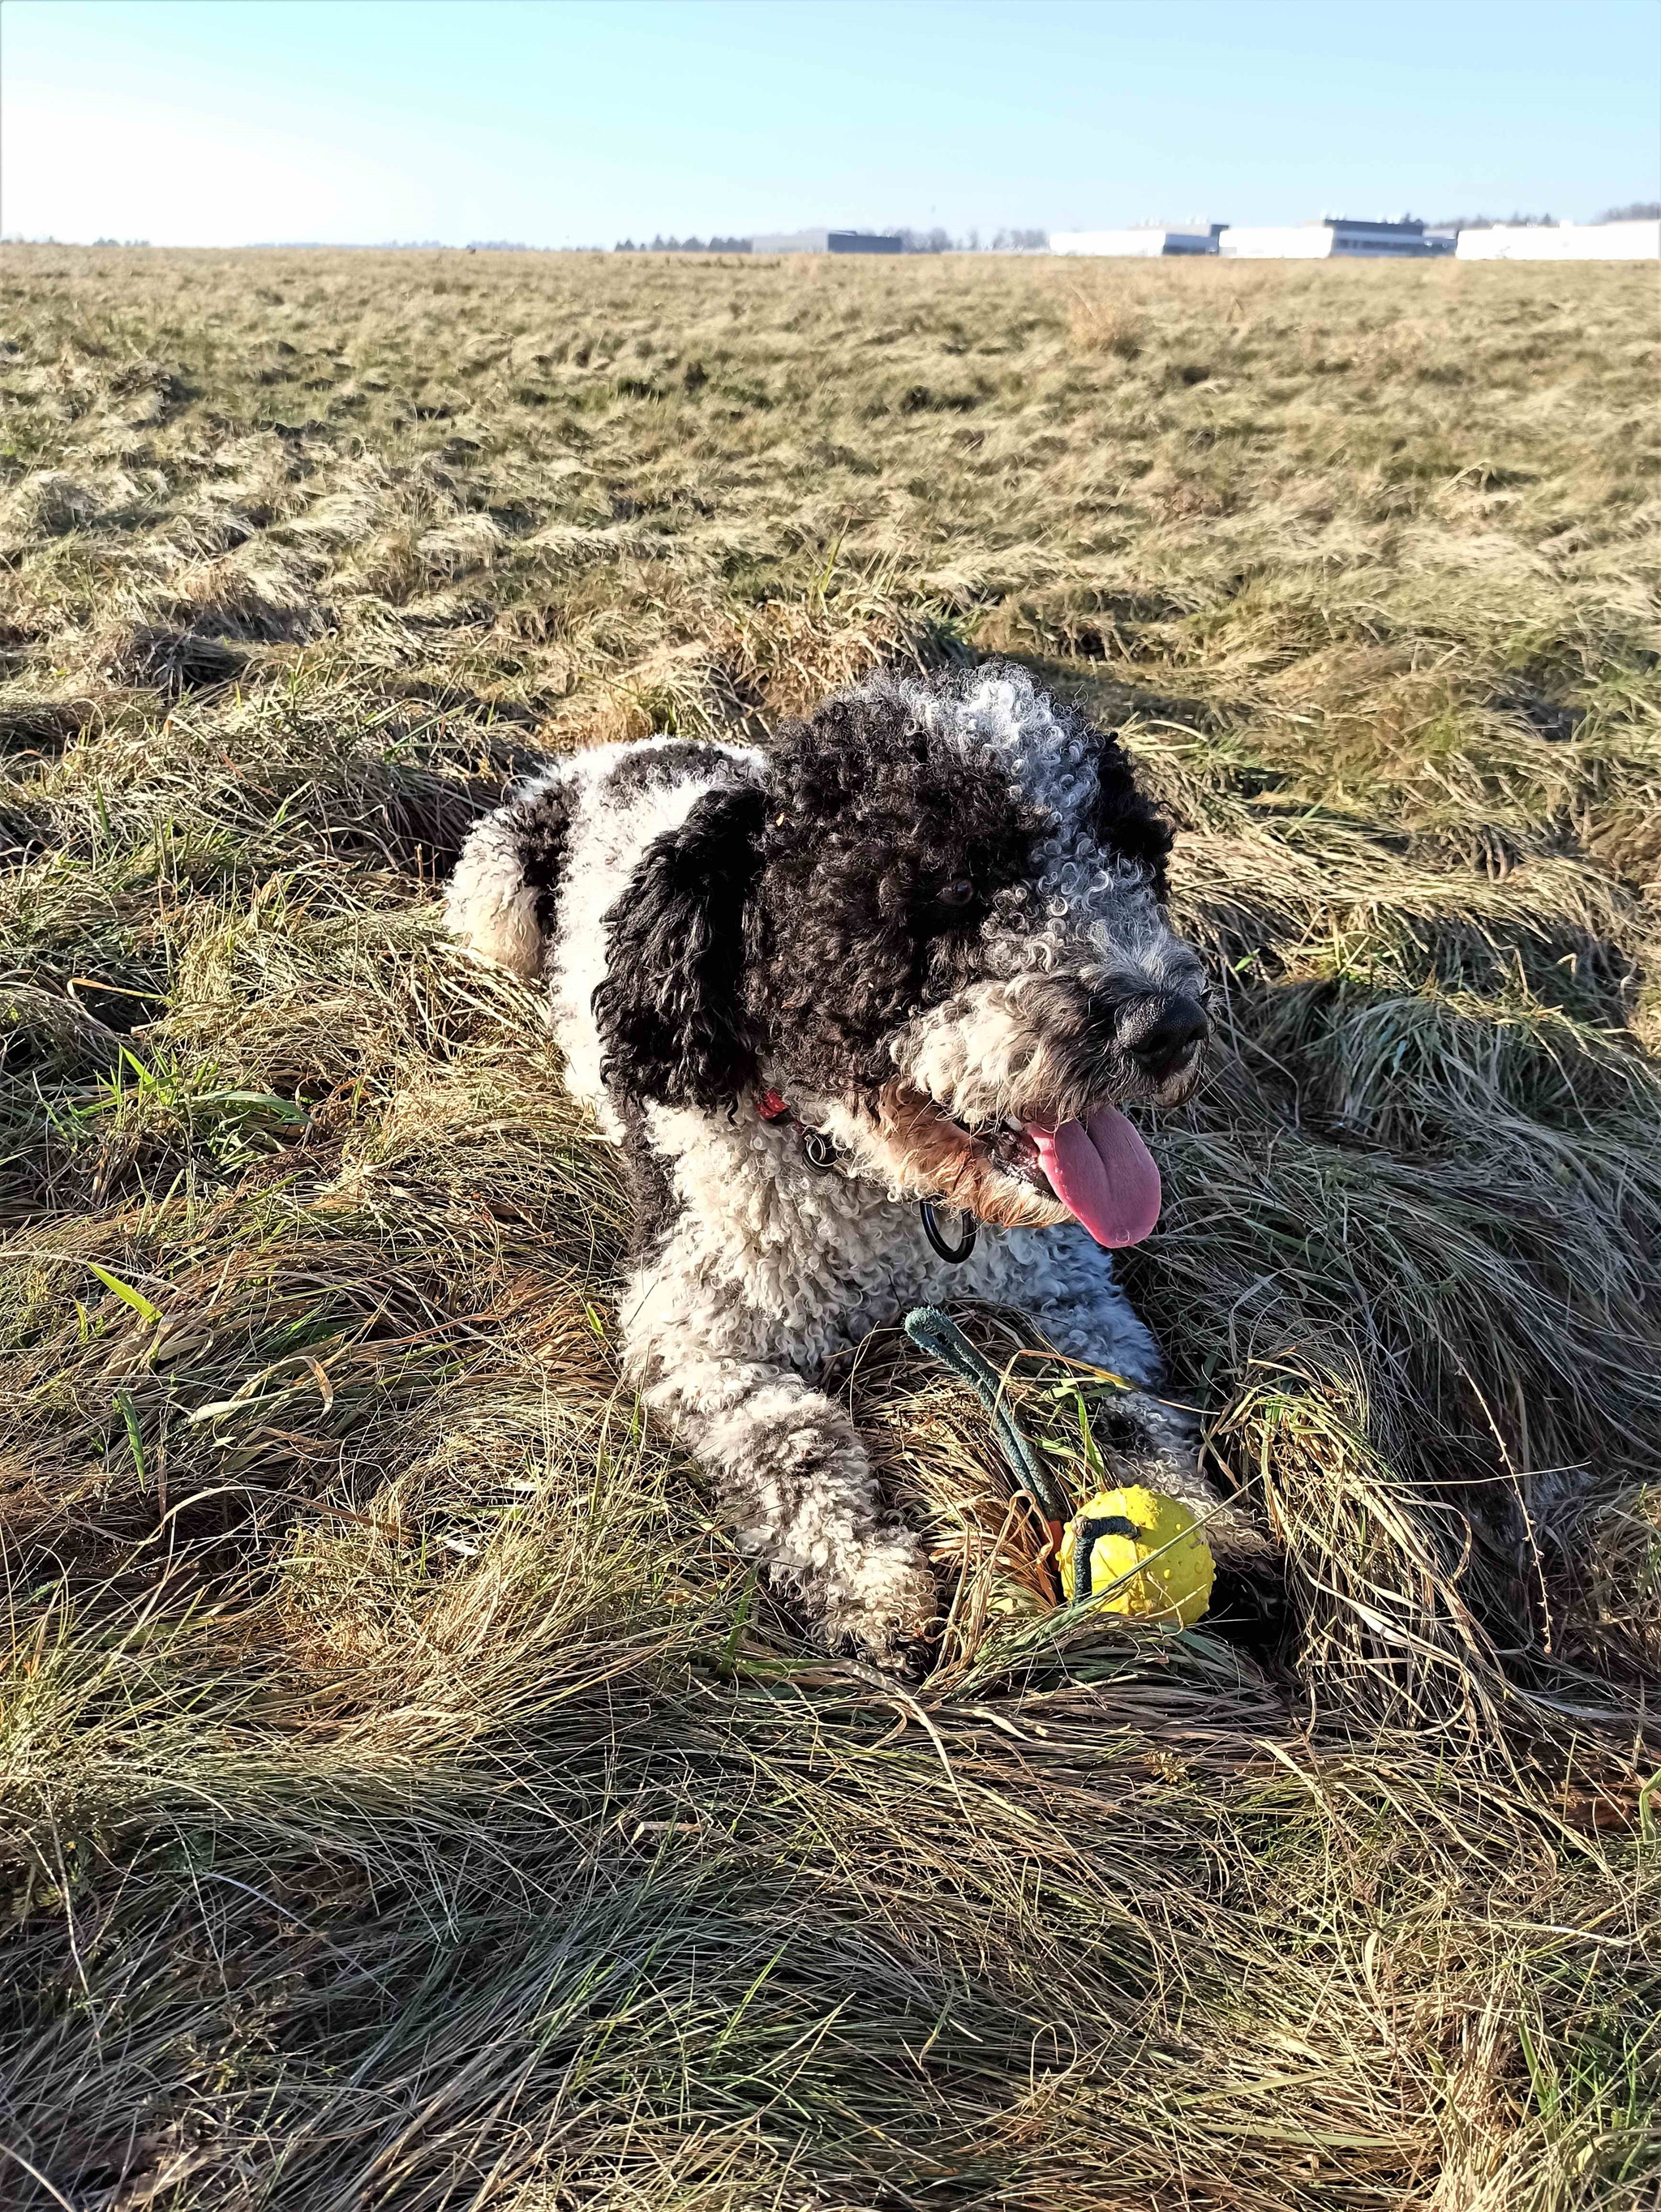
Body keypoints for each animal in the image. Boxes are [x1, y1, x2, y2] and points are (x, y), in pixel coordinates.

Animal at [446, 662, 1253, 1668]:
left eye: (1136, 857)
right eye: (942, 890)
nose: (1169, 1025)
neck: (875, 1190)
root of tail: (624, 753)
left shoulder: (1065, 1285)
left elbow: (1120, 1398)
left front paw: (1197, 1517)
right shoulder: (689, 1325)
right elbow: (790, 1440)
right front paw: (870, 1581)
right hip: (494, 894)